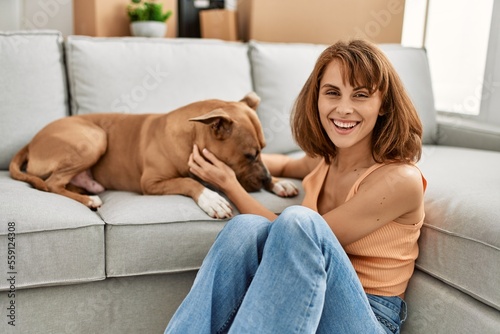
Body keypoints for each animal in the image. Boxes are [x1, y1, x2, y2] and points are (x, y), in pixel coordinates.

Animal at [8, 92, 296, 218]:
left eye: (263, 149)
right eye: (248, 155)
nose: (263, 181)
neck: (190, 137)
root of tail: (32, 142)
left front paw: (279, 182)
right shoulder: (152, 183)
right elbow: (188, 182)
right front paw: (212, 199)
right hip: (94, 139)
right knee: (51, 183)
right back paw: (89, 200)